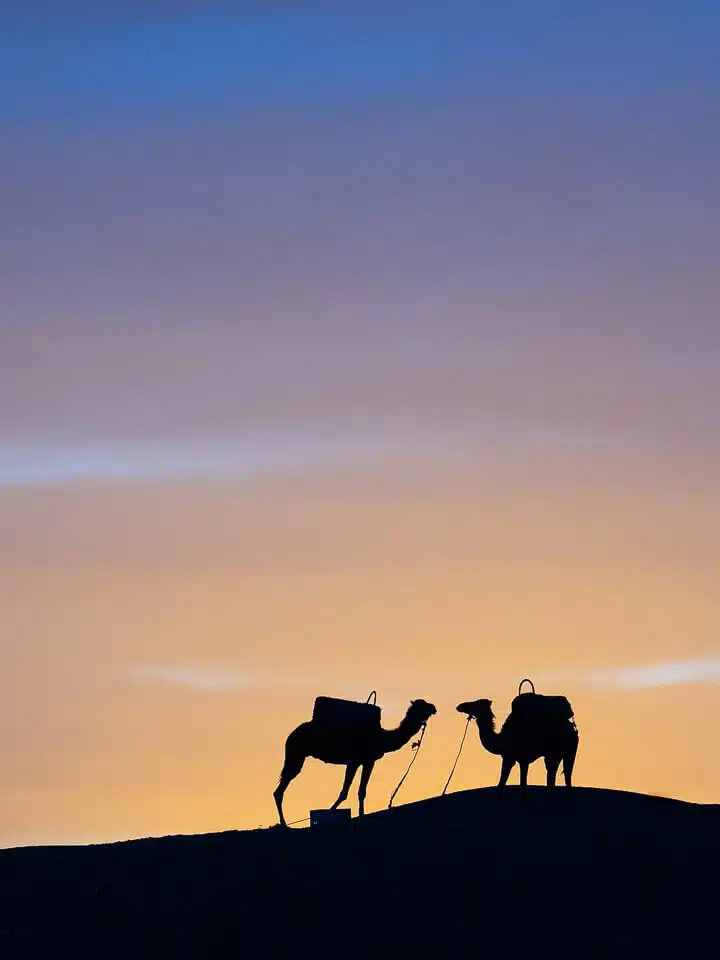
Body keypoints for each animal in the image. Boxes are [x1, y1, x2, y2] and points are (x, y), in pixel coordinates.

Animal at [272, 696, 436, 824]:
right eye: (422, 705)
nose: (434, 708)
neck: (383, 737)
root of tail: (291, 735)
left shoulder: (363, 762)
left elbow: (356, 791)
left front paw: (356, 813)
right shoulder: (359, 761)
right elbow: (350, 791)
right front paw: (336, 811)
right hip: (296, 753)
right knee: (280, 788)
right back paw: (284, 825)